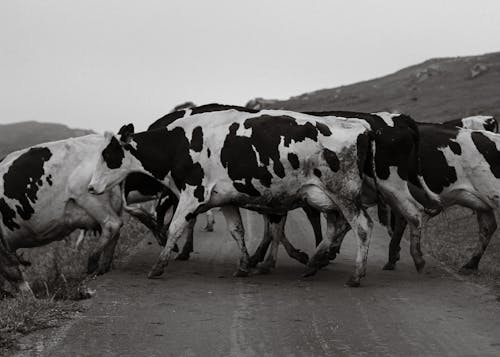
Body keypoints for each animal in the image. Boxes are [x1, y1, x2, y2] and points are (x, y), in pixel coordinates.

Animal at [88, 103, 432, 286]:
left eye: (108, 156)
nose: (91, 187)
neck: (180, 142)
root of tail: (362, 126)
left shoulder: (192, 194)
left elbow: (174, 227)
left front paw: (159, 266)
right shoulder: (224, 198)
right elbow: (238, 231)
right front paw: (244, 264)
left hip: (347, 193)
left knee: (365, 226)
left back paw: (358, 273)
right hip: (332, 196)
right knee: (343, 226)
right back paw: (315, 262)